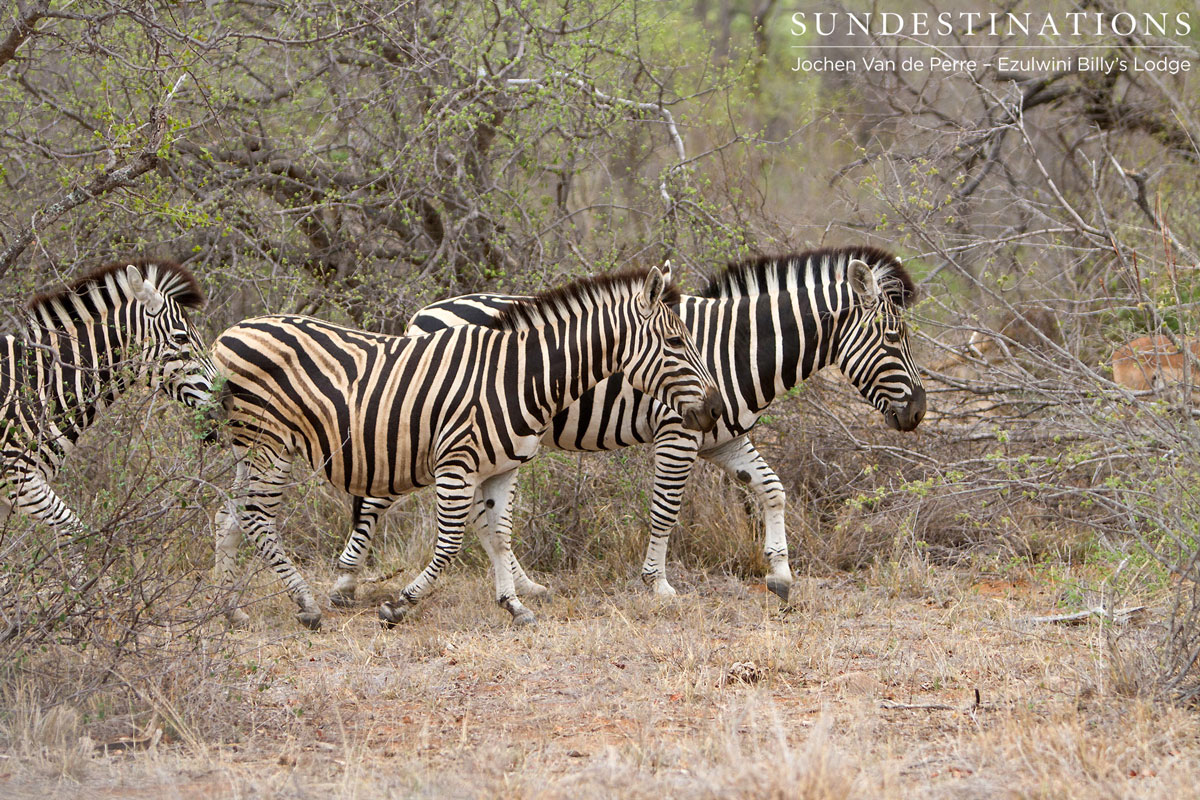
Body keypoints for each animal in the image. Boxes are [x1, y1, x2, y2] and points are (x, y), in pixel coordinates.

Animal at [210, 265, 723, 629]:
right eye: (675, 342)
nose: (716, 408)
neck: (520, 376)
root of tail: (231, 332)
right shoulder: (456, 464)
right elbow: (452, 543)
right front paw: (401, 605)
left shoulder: (501, 469)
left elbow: (499, 536)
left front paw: (514, 605)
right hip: (271, 443)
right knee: (256, 516)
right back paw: (305, 603)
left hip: (246, 449)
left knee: (229, 516)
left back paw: (231, 611)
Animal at [329, 247, 924, 607]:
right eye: (894, 340)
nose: (919, 413)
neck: (735, 348)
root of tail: (424, 314)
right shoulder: (678, 432)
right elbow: (666, 509)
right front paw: (656, 583)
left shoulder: (723, 435)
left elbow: (772, 489)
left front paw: (779, 574)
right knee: (381, 497)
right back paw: (344, 581)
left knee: (481, 511)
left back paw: (525, 585)